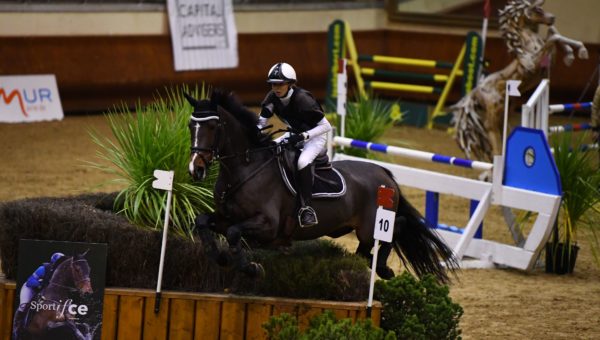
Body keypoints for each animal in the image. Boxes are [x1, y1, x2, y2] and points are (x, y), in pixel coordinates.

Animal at [185, 91, 458, 284]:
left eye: (213, 127)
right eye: (190, 126)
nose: (195, 169)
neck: (245, 169)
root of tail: (383, 172)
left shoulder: (267, 225)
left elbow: (233, 233)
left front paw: (252, 268)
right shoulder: (224, 217)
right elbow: (203, 222)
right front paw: (220, 257)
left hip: (371, 225)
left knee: (395, 227)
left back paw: (383, 268)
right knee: (364, 251)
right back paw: (375, 265)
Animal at [450, 0, 584, 161]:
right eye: (537, 9)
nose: (553, 17)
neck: (527, 46)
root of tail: (476, 91)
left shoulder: (548, 61)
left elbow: (554, 33)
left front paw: (573, 54)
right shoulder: (535, 64)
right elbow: (554, 38)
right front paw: (577, 53)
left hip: (504, 112)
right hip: (493, 113)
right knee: (491, 132)